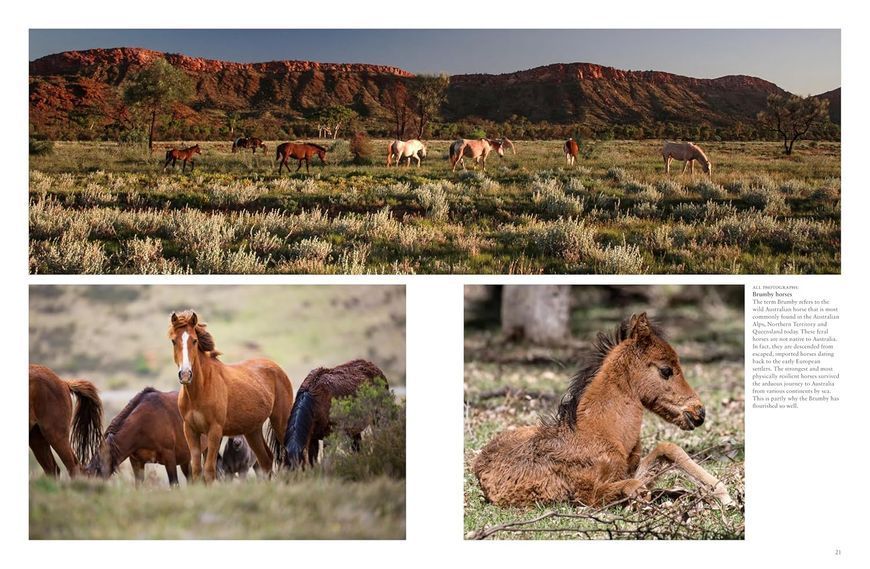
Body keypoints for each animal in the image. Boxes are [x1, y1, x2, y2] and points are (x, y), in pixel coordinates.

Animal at [86, 387, 214, 485]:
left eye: (96, 474)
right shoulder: (136, 461)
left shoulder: (169, 457)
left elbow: (174, 484)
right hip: (186, 458)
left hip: (206, 450)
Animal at [169, 310, 294, 483]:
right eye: (174, 341)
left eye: (194, 341)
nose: (186, 375)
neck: (200, 390)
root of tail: (277, 368)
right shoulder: (190, 430)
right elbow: (196, 470)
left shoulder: (215, 431)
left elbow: (209, 470)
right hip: (252, 430)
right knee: (266, 460)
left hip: (280, 421)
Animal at [473, 313, 734, 508]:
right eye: (666, 370)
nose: (699, 412)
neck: (604, 433)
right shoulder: (588, 495)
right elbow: (637, 489)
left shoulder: (628, 470)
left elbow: (666, 449)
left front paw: (722, 494)